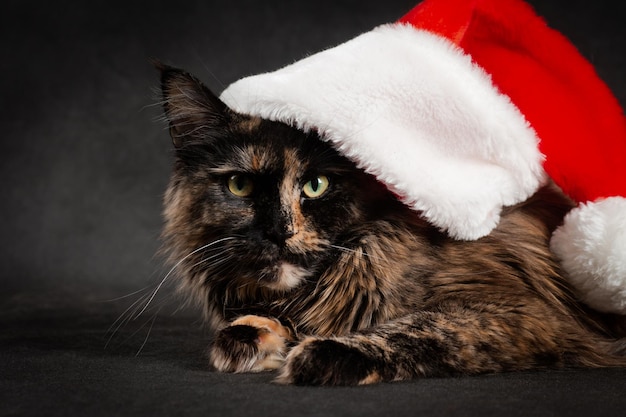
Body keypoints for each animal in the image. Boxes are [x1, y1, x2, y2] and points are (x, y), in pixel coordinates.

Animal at [157, 63, 624, 386]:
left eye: (316, 185)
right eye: (240, 185)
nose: (280, 231)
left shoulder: (518, 311)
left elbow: (419, 329)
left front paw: (323, 354)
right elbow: (251, 325)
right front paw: (252, 337)